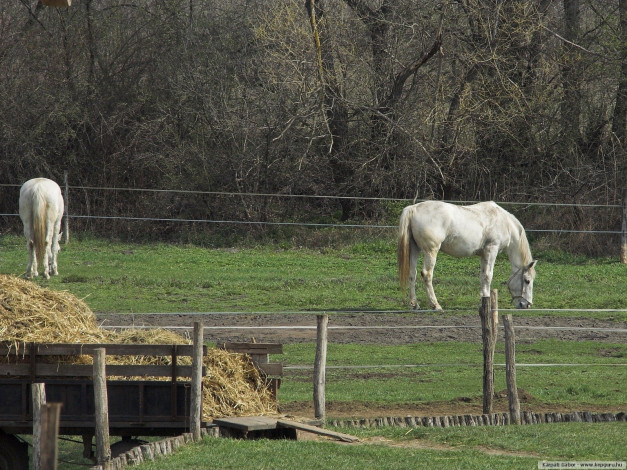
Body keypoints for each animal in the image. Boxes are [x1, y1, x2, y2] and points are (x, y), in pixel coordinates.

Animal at [400, 200, 536, 310]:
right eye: (527, 281)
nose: (526, 305)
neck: (504, 223)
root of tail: (413, 208)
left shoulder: (484, 255)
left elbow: (482, 276)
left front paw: (483, 301)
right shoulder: (492, 249)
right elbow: (488, 276)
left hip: (415, 249)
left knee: (412, 274)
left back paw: (415, 304)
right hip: (431, 251)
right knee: (427, 274)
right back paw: (435, 305)